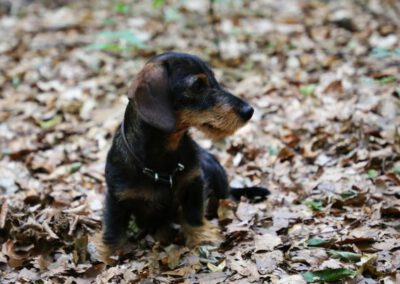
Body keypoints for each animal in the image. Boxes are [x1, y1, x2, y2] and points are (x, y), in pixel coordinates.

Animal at [99, 51, 268, 260]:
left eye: (214, 79)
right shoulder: (116, 198)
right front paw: (109, 255)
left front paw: (202, 237)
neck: (161, 162)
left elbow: (193, 214)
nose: (249, 111)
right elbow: (113, 230)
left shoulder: (194, 182)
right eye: (197, 85)